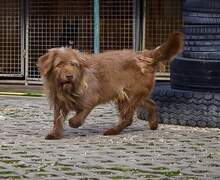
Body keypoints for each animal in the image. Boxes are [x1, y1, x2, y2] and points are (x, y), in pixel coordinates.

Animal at [38, 32, 184, 139]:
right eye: (59, 64)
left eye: (74, 64)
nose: (69, 76)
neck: (69, 88)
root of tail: (144, 56)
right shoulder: (59, 102)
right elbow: (57, 119)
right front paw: (55, 134)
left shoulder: (90, 99)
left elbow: (79, 117)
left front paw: (73, 123)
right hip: (134, 95)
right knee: (151, 103)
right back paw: (153, 124)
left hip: (128, 96)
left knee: (127, 119)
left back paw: (112, 131)